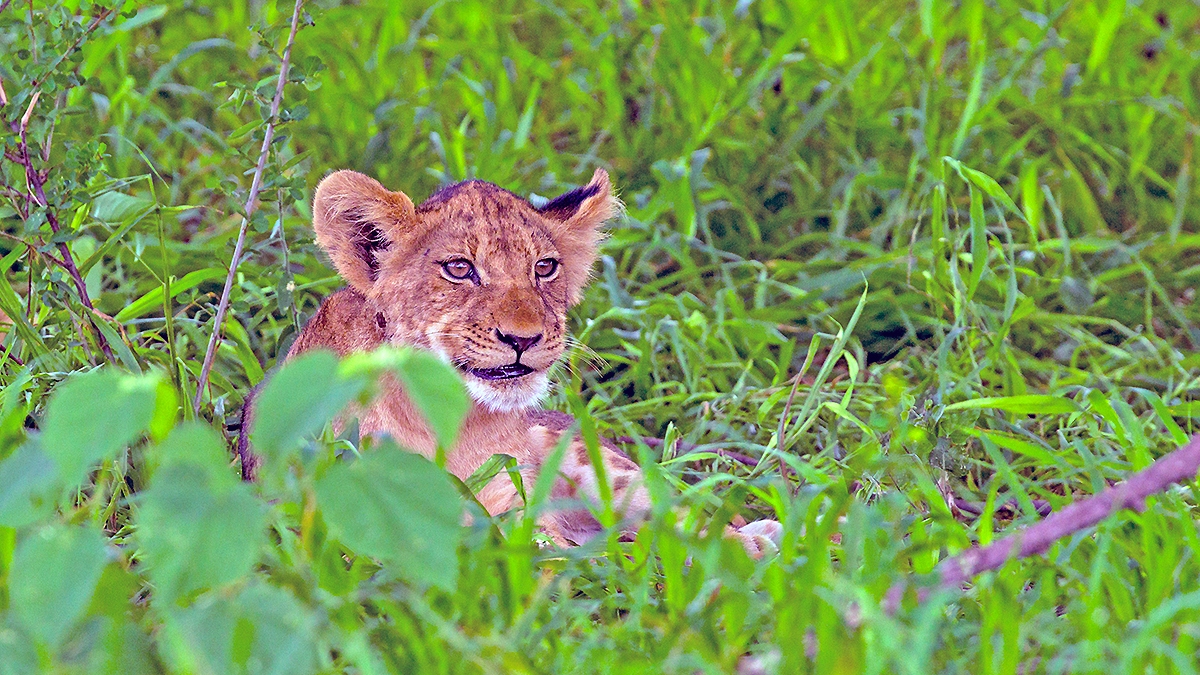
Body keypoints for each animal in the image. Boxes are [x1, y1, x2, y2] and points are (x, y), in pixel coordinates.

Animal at [240, 168, 781, 556]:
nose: (524, 338)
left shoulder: (512, 498)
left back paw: (756, 542)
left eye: (544, 267)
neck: (446, 419)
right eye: (459, 269)